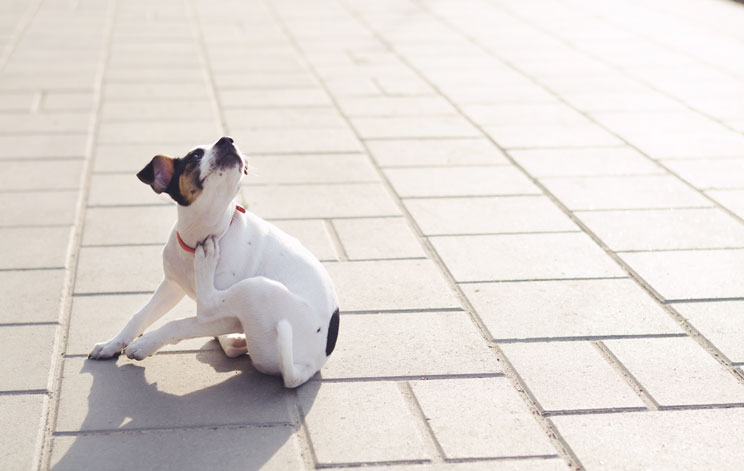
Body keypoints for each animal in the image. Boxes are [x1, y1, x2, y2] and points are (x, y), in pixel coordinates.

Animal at [87, 136, 340, 388]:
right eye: (195, 155)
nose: (227, 140)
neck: (202, 236)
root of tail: (306, 368)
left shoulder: (226, 318)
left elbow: (178, 324)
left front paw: (143, 344)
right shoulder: (172, 286)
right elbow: (139, 316)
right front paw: (112, 344)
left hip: (256, 288)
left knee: (207, 304)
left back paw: (206, 264)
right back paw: (235, 341)